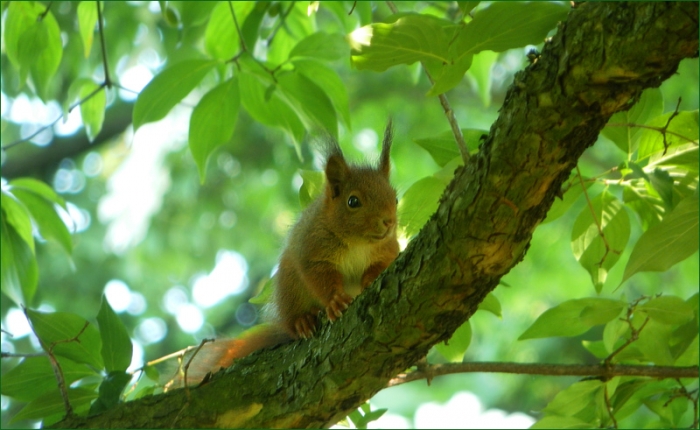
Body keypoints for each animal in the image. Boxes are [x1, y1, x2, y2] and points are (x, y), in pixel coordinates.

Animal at [174, 122, 399, 385]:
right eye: (353, 201)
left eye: (395, 198)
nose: (388, 222)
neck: (358, 243)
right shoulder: (311, 250)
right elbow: (320, 278)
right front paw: (334, 300)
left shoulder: (388, 249)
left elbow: (382, 264)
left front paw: (370, 279)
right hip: (289, 286)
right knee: (293, 320)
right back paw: (303, 321)